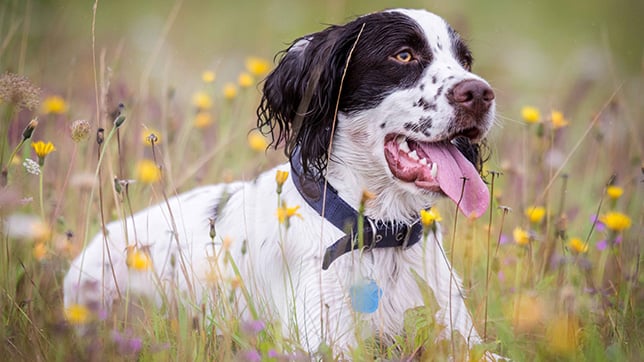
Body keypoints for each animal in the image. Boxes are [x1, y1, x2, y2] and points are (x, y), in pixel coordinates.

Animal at [65, 8, 496, 360]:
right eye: (403, 55)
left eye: (465, 60)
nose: (480, 92)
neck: (379, 236)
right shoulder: (324, 344)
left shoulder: (462, 335)